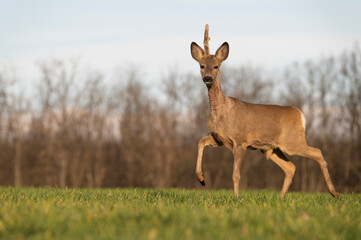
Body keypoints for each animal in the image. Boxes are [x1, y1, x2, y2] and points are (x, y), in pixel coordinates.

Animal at [190, 23, 338, 199]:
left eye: (216, 66)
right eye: (201, 66)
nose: (207, 78)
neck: (221, 111)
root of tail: (300, 114)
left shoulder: (239, 140)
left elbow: (236, 174)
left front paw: (237, 198)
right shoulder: (219, 138)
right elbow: (200, 142)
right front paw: (201, 178)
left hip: (292, 142)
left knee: (317, 152)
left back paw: (334, 193)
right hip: (271, 148)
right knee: (291, 167)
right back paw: (281, 197)